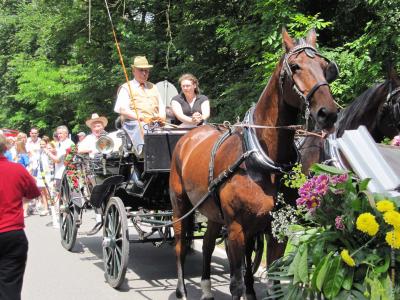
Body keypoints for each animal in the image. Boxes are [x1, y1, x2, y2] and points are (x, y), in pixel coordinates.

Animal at [169, 28, 338, 300]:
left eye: (325, 67)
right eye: (295, 66)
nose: (328, 113)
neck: (263, 162)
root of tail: (189, 136)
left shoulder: (276, 228)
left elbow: (274, 281)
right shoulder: (237, 230)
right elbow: (236, 282)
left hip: (212, 211)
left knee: (206, 244)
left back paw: (205, 288)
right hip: (180, 206)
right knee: (180, 245)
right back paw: (182, 290)